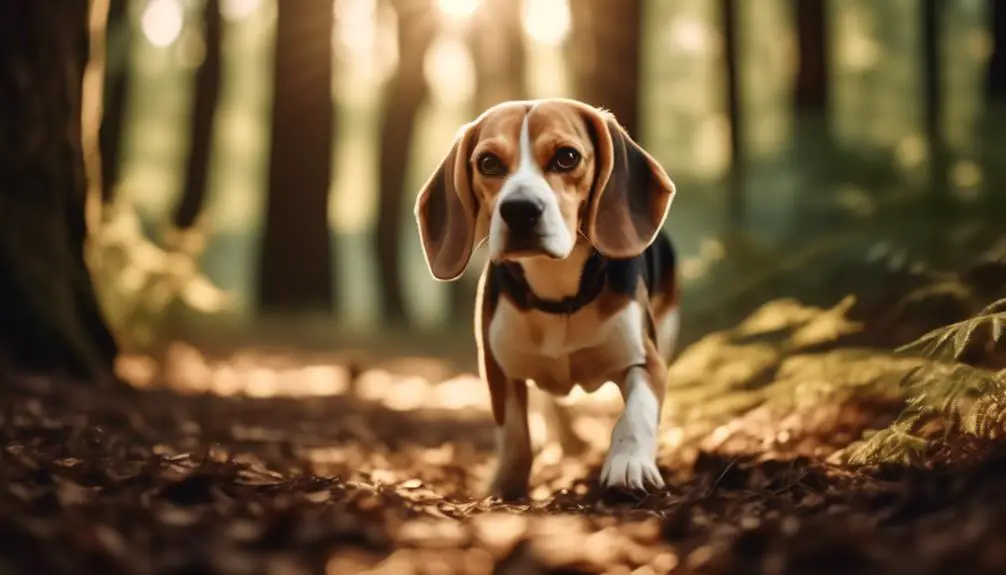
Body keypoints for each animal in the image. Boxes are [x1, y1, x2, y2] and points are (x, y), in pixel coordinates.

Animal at [412, 97, 680, 498]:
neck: (558, 296)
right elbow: (514, 434)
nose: (519, 209)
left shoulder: (646, 360)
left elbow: (636, 413)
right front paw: (505, 485)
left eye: (567, 157)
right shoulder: (498, 368)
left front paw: (629, 463)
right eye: (488, 162)